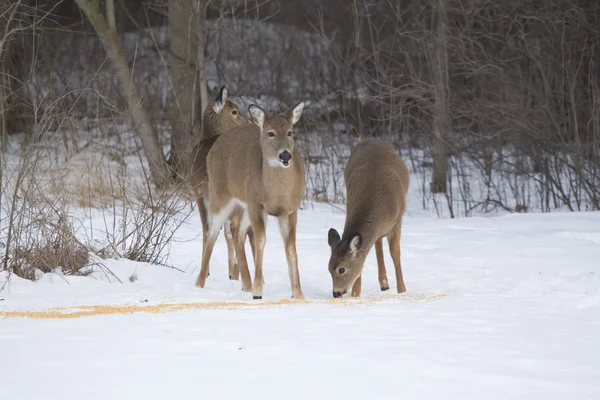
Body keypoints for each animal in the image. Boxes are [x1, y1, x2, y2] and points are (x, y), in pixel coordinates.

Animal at [189, 86, 254, 282]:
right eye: (234, 111)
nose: (250, 121)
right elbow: (222, 232)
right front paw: (230, 273)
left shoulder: (199, 191)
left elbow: (208, 228)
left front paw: (207, 270)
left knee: (234, 229)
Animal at [197, 101, 308, 298]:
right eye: (270, 133)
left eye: (290, 132)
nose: (285, 155)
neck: (277, 193)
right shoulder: (257, 204)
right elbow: (260, 240)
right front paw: (258, 291)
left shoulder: (290, 209)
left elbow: (291, 248)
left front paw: (298, 294)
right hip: (220, 194)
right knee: (212, 231)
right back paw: (200, 282)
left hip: (244, 205)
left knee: (237, 232)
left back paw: (246, 285)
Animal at [326, 139, 410, 298]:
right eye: (328, 268)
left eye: (342, 269)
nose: (336, 293)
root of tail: (371, 139)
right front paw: (355, 294)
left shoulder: (397, 219)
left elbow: (395, 252)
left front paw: (402, 291)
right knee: (377, 242)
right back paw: (383, 283)